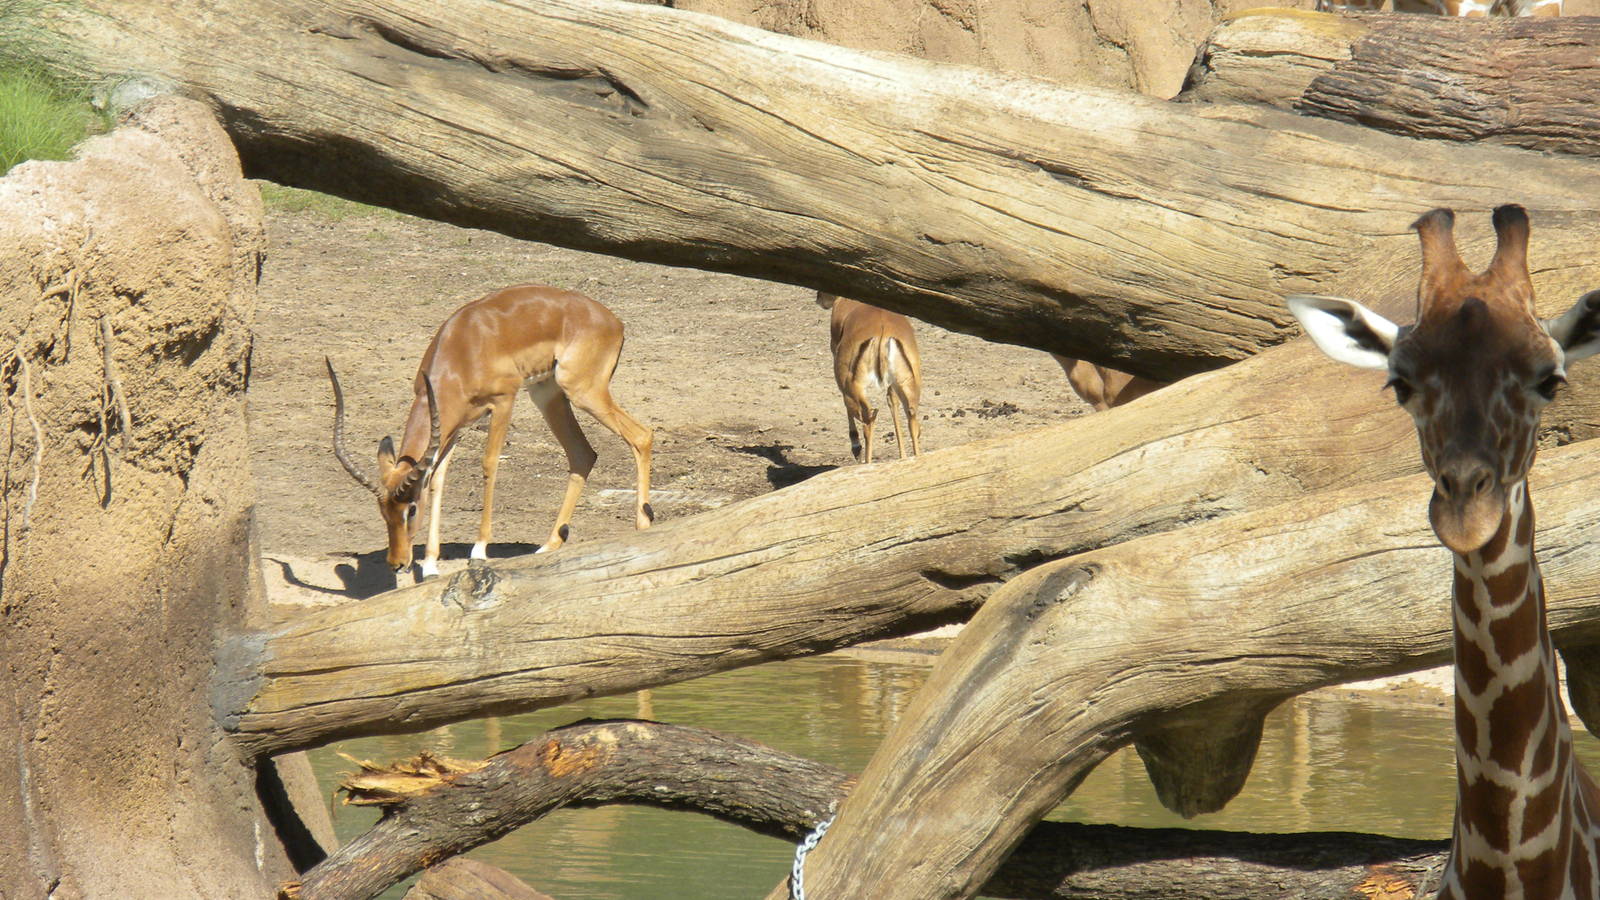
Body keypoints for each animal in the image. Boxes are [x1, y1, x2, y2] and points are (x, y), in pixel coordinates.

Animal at [328, 284, 654, 578]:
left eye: (411, 509)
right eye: (383, 511)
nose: (397, 563)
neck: (462, 351)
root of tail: (614, 322)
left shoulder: (503, 402)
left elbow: (489, 464)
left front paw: (479, 551)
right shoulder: (454, 425)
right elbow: (438, 479)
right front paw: (431, 564)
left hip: (582, 391)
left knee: (641, 435)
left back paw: (643, 525)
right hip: (547, 393)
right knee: (582, 454)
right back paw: (549, 544)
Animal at [816, 292, 922, 463]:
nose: (819, 298)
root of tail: (883, 332)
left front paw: (855, 446)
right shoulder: (891, 386)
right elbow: (892, 402)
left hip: (852, 388)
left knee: (868, 419)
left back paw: (864, 459)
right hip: (908, 386)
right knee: (912, 420)